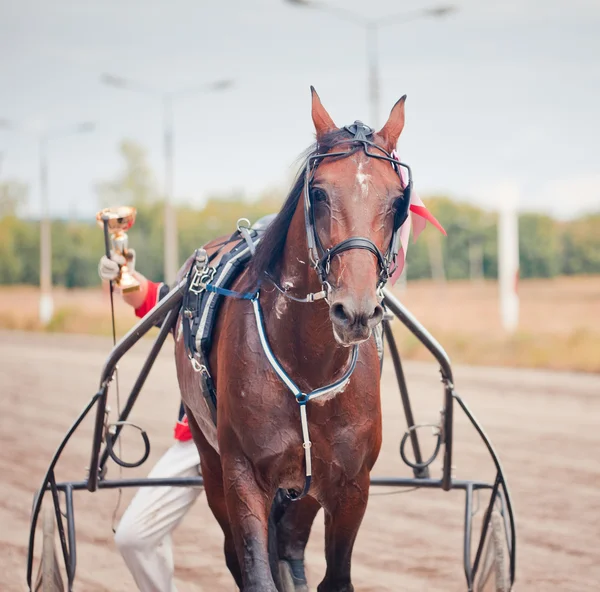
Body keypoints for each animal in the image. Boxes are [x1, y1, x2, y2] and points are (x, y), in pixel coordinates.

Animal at [175, 89, 412, 592]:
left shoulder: (349, 483)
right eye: (318, 192)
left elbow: (333, 577)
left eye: (399, 200)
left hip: (306, 487)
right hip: (209, 454)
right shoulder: (242, 474)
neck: (307, 367)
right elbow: (256, 570)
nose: (355, 310)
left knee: (291, 545)